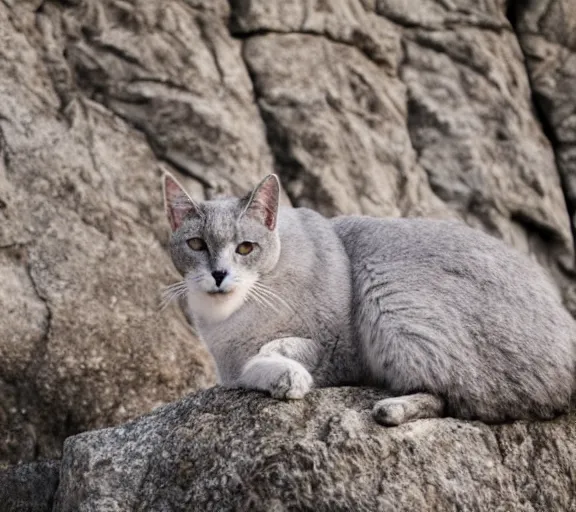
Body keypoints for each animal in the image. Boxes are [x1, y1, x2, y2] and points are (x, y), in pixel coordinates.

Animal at [162, 174, 576, 426]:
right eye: (196, 245)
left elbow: (273, 350)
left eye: (245, 248)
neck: (226, 319)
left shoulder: (339, 350)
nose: (219, 274)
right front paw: (282, 377)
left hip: (385, 285)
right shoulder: (229, 368)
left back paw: (390, 409)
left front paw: (288, 377)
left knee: (457, 398)